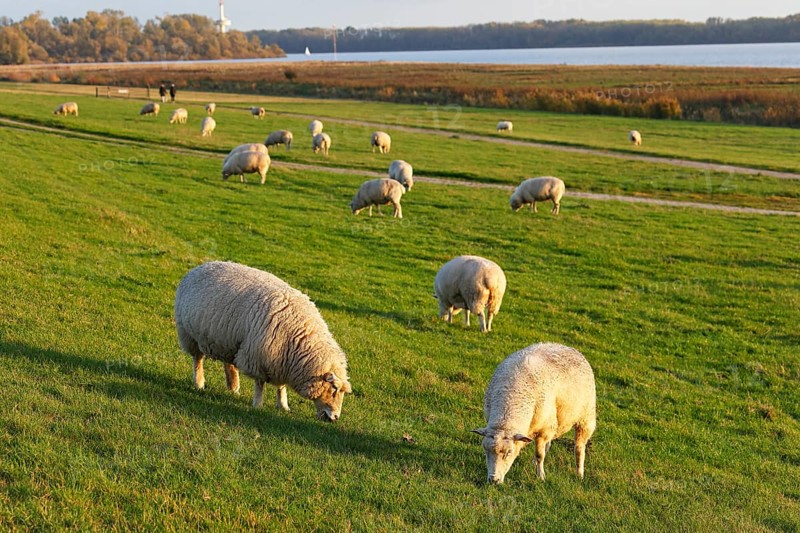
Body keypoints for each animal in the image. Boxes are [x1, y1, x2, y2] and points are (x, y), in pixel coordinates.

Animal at [174, 261, 352, 422]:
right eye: (334, 389)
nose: (334, 418)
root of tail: (200, 266)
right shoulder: (259, 357)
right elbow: (260, 384)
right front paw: (258, 405)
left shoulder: (281, 361)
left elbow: (281, 386)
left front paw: (283, 405)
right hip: (189, 334)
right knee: (198, 360)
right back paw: (199, 383)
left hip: (229, 341)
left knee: (229, 363)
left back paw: (233, 387)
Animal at [472, 342, 596, 484]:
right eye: (485, 450)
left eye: (509, 452)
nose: (493, 480)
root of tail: (566, 346)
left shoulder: (544, 431)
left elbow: (539, 455)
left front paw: (540, 476)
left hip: (586, 418)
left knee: (579, 448)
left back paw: (579, 474)